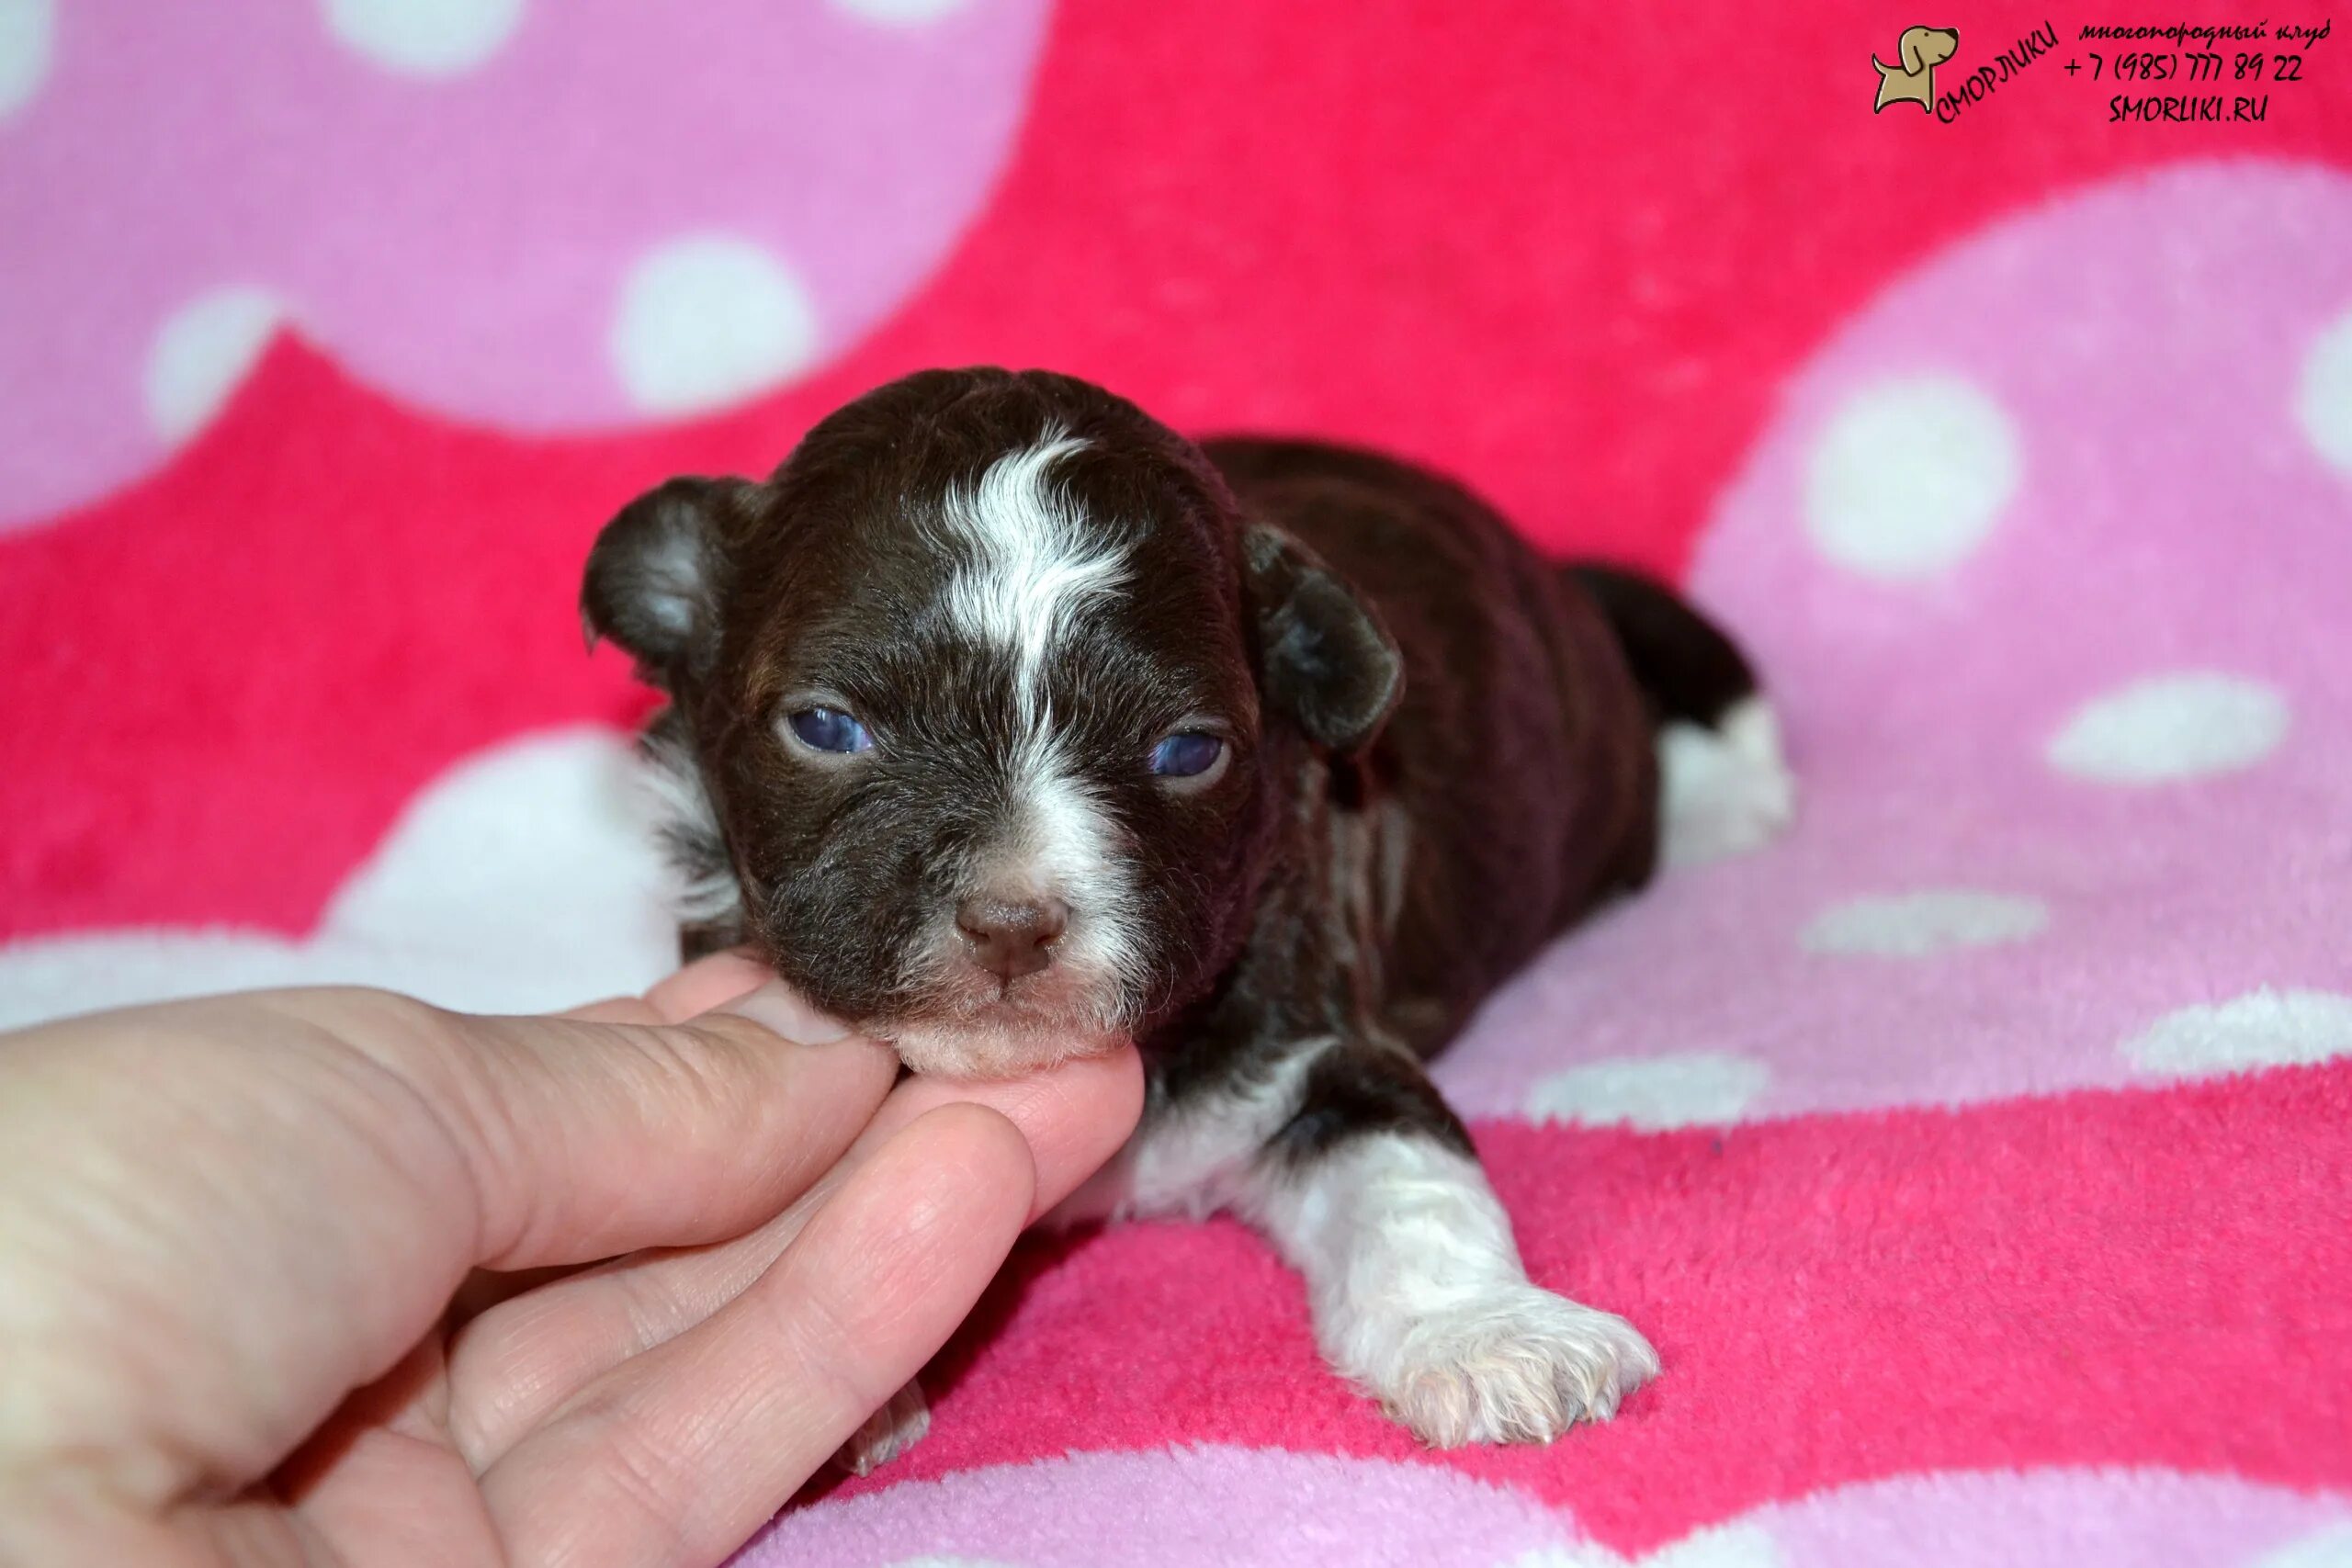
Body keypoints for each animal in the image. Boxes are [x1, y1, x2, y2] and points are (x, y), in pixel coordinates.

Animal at [578, 368, 1787, 1476]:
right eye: (826, 727)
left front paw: (1494, 1342)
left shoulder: (1314, 1035)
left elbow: (1410, 1175)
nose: (1011, 921)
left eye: (1187, 751)